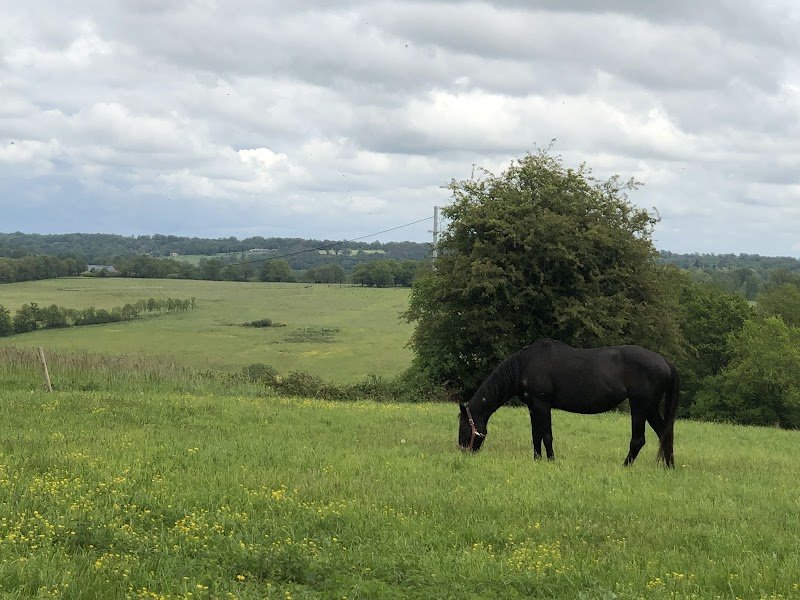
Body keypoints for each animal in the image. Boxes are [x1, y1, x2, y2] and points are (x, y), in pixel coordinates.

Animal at [457, 338, 679, 467]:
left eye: (464, 426)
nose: (463, 452)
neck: (525, 365)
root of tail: (665, 362)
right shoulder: (533, 407)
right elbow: (536, 436)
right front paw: (537, 460)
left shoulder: (542, 404)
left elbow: (547, 435)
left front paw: (551, 461)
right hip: (649, 407)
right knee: (664, 432)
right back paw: (669, 467)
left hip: (640, 406)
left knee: (639, 440)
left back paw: (625, 466)